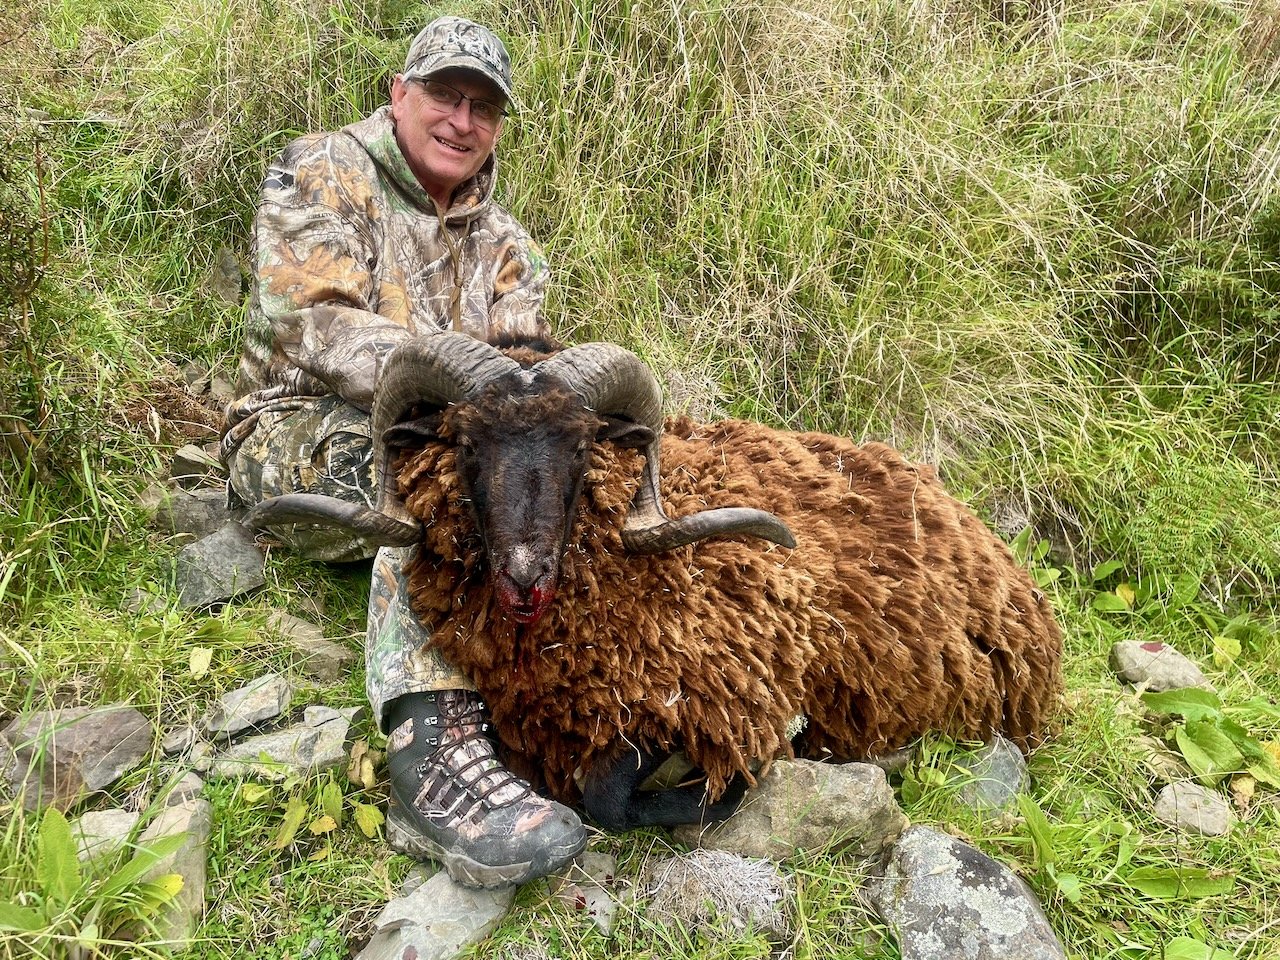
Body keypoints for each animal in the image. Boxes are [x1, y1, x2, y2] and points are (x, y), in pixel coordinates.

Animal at [247, 332, 1063, 829]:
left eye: (581, 449)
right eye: (468, 444)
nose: (525, 573)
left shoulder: (718, 696)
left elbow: (611, 799)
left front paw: (724, 786)